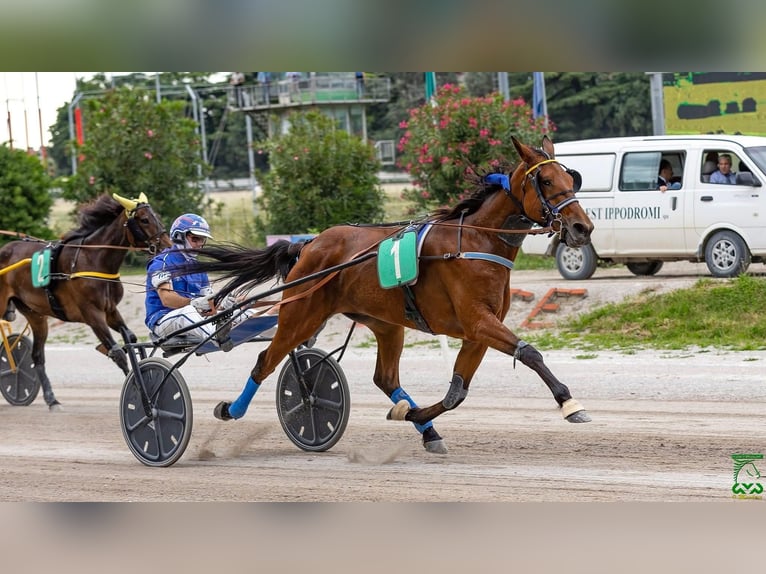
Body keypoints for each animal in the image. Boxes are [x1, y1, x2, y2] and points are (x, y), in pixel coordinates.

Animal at [0, 192, 170, 410]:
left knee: (37, 355)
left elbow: (130, 339)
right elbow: (118, 353)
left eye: (156, 216)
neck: (93, 260)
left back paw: (52, 399)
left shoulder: (110, 311)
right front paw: (138, 394)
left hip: (35, 314)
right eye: (144, 220)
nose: (168, 245)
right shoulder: (92, 314)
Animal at [185, 135, 594, 453]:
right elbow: (531, 354)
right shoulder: (478, 322)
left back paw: (424, 428)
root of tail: (310, 244)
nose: (582, 227)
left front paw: (413, 414)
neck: (476, 242)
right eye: (545, 179)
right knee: (265, 361)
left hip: (385, 324)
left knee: (385, 379)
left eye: (571, 177)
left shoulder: (476, 333)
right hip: (300, 313)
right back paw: (231, 410)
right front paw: (569, 403)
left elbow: (456, 393)